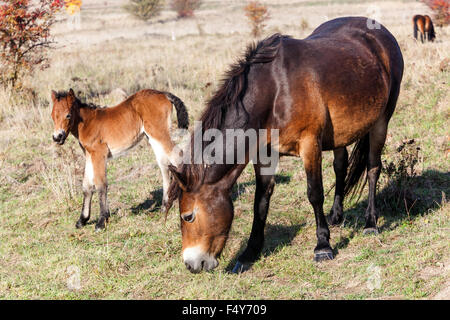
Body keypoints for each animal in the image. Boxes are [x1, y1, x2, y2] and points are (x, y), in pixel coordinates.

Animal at [51, 89, 188, 231]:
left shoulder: (99, 154)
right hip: (152, 137)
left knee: (178, 156)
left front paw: (101, 221)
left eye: (68, 115)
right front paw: (82, 220)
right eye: (52, 116)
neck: (87, 123)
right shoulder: (89, 155)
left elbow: (100, 184)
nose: (57, 137)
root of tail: (163, 93)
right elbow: (86, 185)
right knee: (164, 166)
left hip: (159, 133)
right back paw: (164, 207)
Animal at [165, 16, 404, 274]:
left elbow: (314, 193)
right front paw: (249, 253)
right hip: (341, 132)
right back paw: (336, 215)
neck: (275, 92)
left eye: (188, 216)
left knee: (372, 168)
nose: (192, 264)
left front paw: (323, 246)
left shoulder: (310, 144)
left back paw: (370, 222)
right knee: (341, 166)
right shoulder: (264, 154)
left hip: (381, 121)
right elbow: (260, 201)